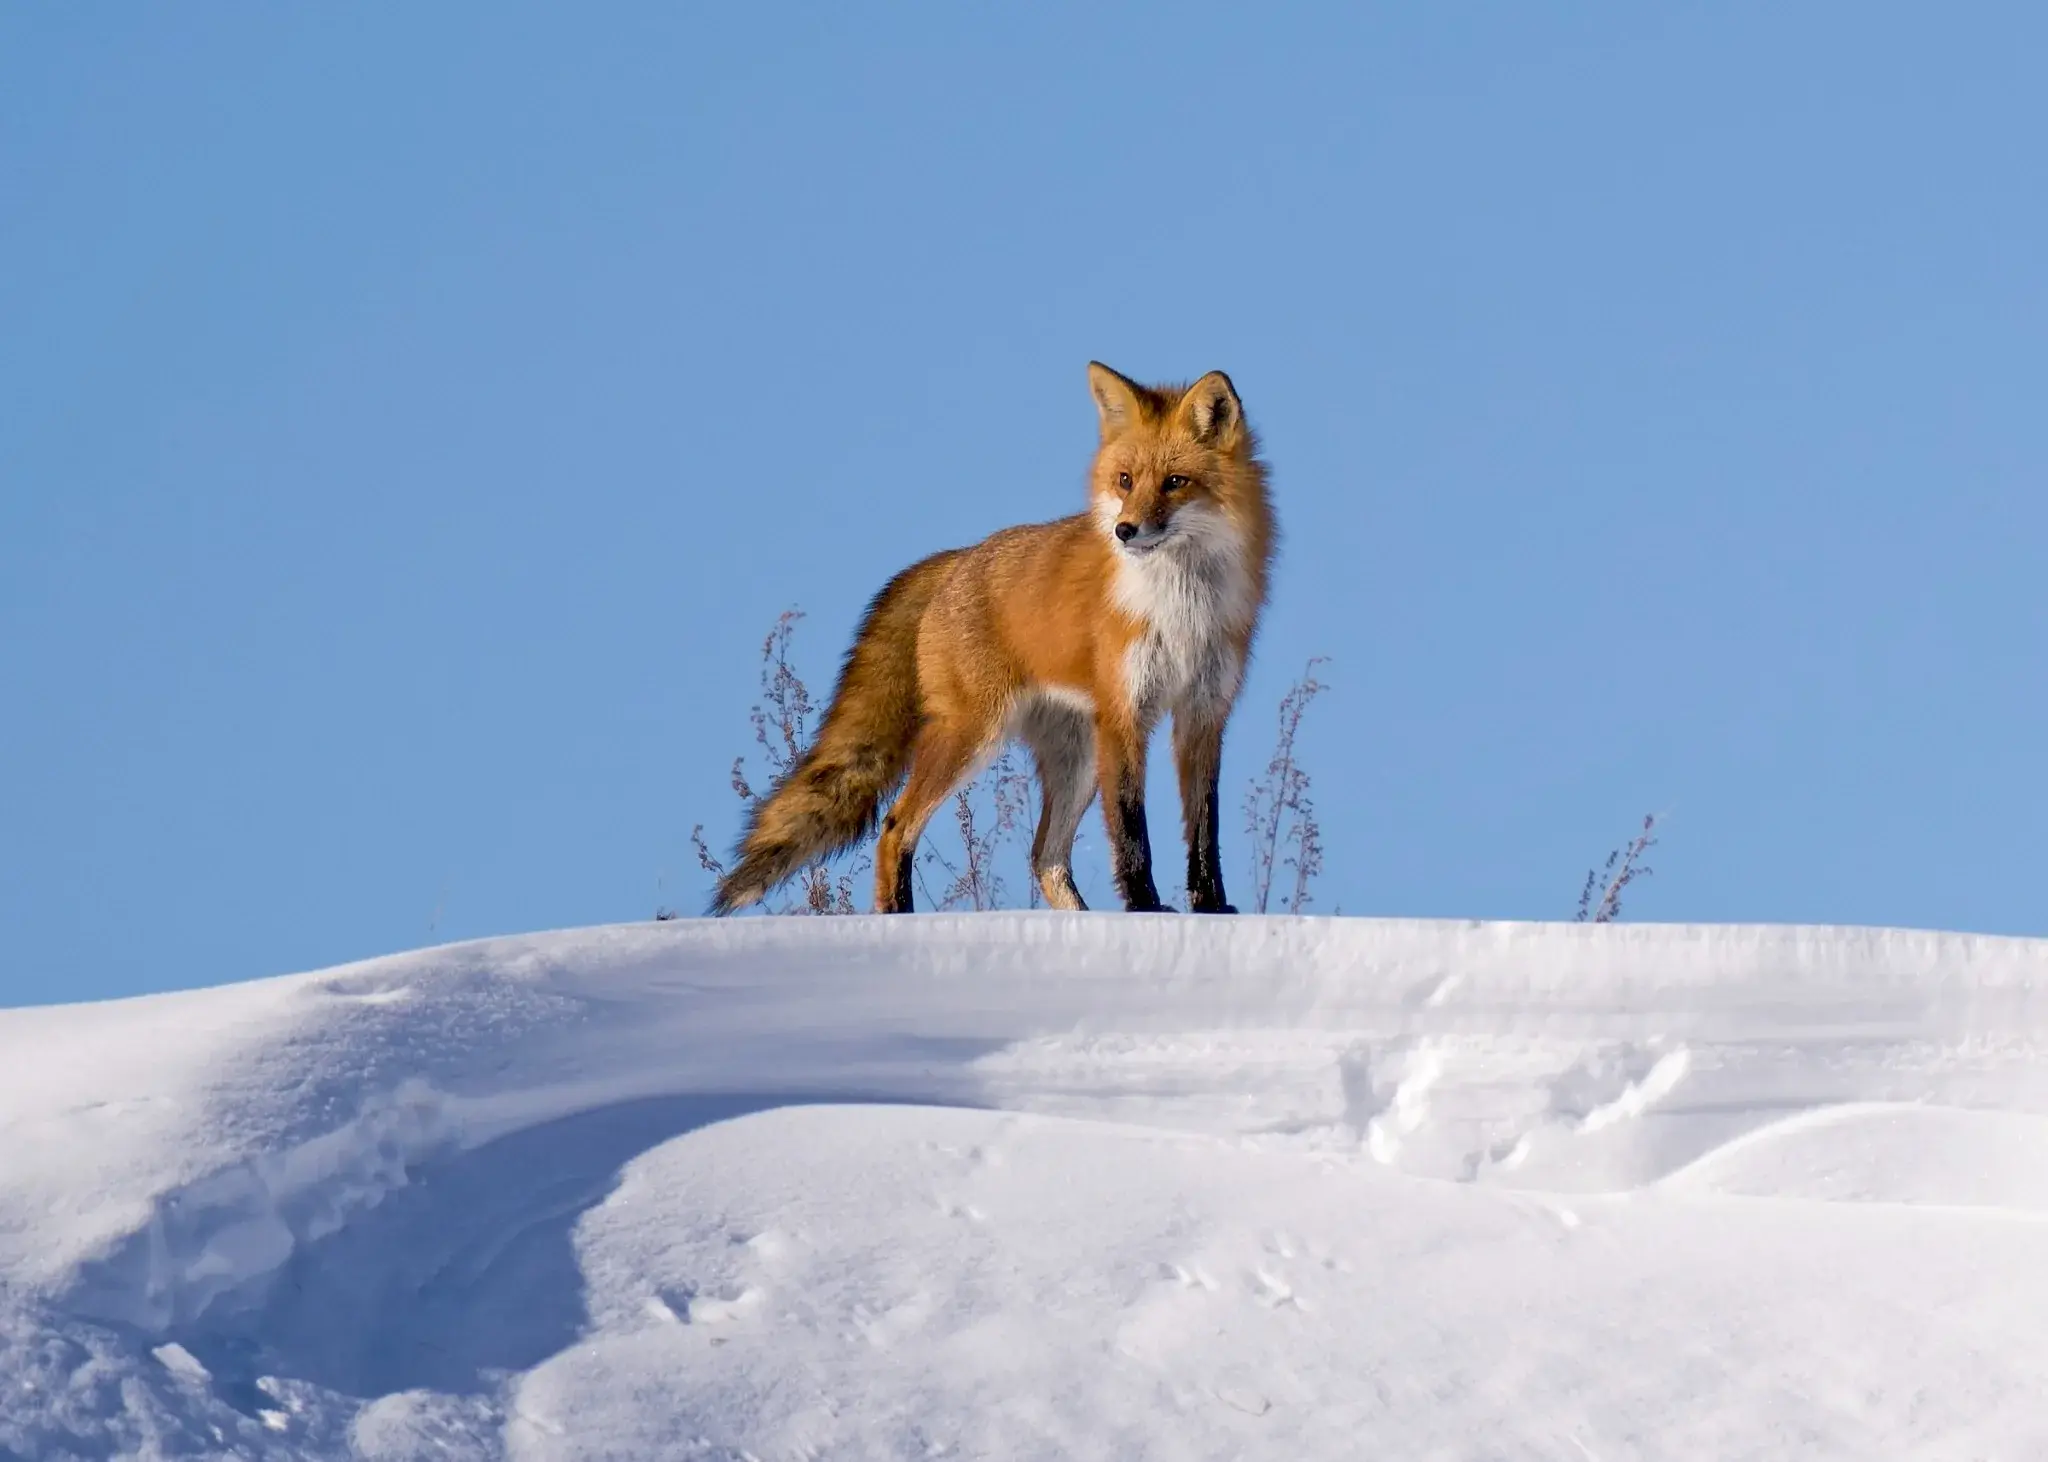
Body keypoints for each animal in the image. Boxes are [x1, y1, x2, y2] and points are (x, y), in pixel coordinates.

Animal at [710, 361, 1275, 917]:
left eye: (1175, 481)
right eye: (1125, 480)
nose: (1124, 530)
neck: (1181, 608)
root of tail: (957, 558)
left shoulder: (1203, 714)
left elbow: (1204, 828)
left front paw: (1211, 908)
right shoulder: (1124, 714)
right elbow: (1132, 829)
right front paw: (1145, 909)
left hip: (1076, 761)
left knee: (1045, 856)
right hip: (975, 733)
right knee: (895, 827)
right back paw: (896, 919)